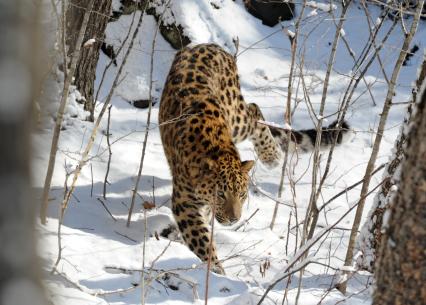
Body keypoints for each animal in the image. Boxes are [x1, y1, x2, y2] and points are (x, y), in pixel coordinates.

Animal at [159, 43, 350, 274]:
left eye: (242, 194)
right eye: (220, 194)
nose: (234, 219)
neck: (216, 151)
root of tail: (208, 45)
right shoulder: (185, 204)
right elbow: (202, 241)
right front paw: (217, 271)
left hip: (236, 117)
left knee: (254, 110)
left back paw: (272, 156)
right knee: (254, 109)